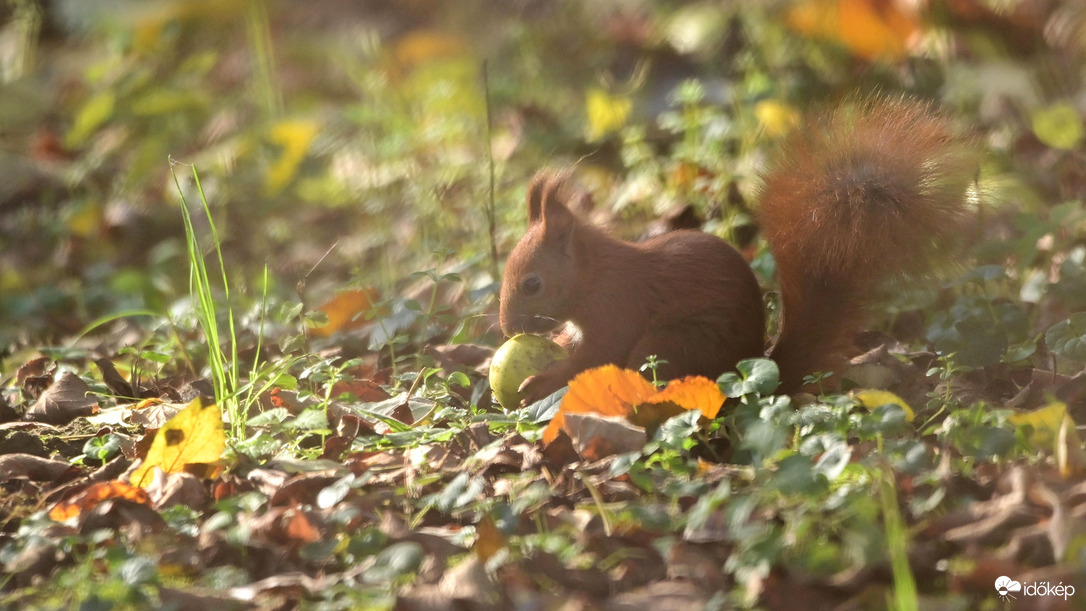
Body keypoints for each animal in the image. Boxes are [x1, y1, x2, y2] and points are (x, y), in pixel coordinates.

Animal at [499, 98, 977, 403]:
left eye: (533, 284)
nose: (505, 330)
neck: (593, 274)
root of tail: (759, 370)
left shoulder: (615, 308)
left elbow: (596, 355)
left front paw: (541, 380)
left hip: (671, 345)